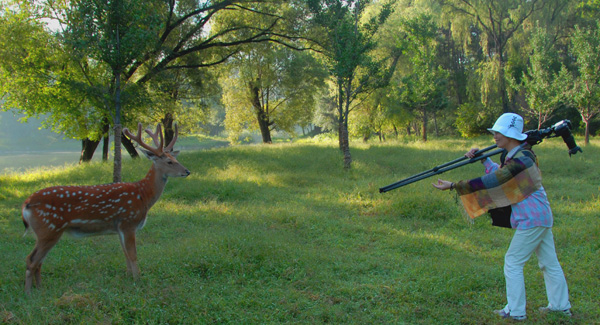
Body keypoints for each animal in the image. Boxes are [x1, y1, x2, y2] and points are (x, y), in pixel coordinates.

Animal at [21, 121, 190, 292]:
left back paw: (40, 288)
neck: (143, 195)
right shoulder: (128, 222)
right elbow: (133, 255)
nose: (187, 171)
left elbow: (125, 254)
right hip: (48, 229)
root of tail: (26, 204)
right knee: (31, 260)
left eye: (174, 158)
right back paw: (29, 293)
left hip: (47, 232)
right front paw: (138, 281)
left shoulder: (119, 227)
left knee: (38, 261)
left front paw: (129, 277)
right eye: (169, 162)